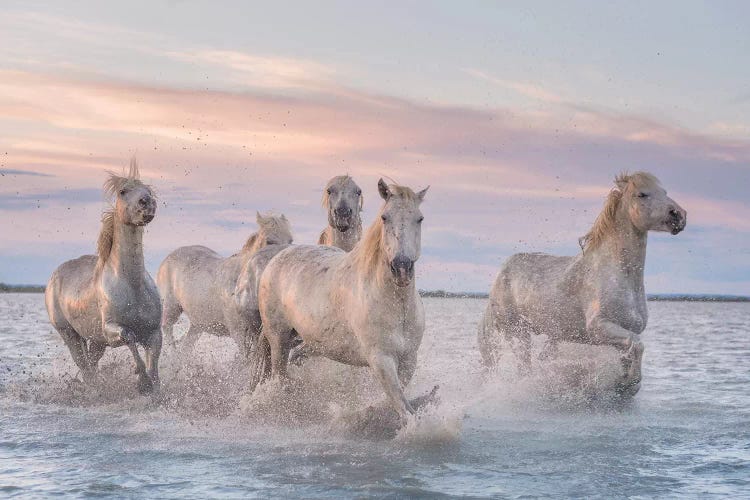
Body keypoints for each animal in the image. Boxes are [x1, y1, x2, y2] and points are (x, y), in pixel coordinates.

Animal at [45, 160, 162, 394]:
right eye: (123, 191)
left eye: (147, 189)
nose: (147, 204)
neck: (132, 285)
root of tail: (54, 276)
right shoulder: (110, 330)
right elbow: (129, 337)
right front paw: (141, 381)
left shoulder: (154, 332)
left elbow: (153, 365)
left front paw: (153, 386)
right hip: (69, 334)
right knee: (84, 365)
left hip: (96, 341)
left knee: (92, 363)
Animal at [158, 213, 294, 354]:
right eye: (269, 241)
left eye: (290, 240)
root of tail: (168, 258)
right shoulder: (239, 332)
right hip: (171, 307)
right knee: (167, 328)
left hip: (198, 324)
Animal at [254, 178, 426, 420]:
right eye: (385, 217)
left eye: (419, 219)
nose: (401, 267)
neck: (396, 306)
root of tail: (276, 259)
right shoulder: (381, 359)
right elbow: (404, 408)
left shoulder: (409, 359)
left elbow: (395, 402)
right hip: (278, 338)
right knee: (281, 377)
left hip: (308, 341)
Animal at [482, 172, 688, 394]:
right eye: (642, 194)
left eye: (664, 191)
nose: (679, 216)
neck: (618, 275)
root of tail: (501, 274)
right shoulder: (598, 328)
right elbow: (638, 345)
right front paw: (627, 382)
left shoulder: (624, 332)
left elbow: (629, 353)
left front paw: (624, 383)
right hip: (517, 334)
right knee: (524, 367)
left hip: (550, 336)